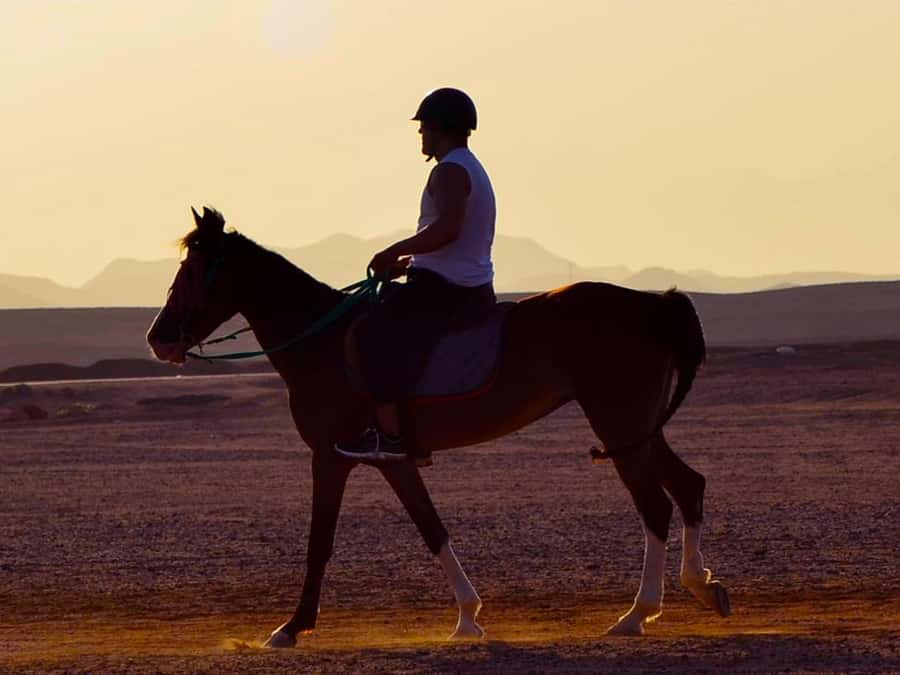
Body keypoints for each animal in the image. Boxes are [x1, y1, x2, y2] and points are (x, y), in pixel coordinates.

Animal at [146, 206, 730, 647]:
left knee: (655, 505)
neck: (321, 342)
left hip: (617, 421)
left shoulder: (330, 456)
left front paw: (291, 627)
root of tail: (655, 303)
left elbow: (320, 541)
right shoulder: (392, 458)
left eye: (193, 271)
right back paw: (703, 587)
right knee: (688, 485)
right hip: (638, 426)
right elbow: (431, 527)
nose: (158, 338)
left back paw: (636, 615)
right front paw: (469, 617)